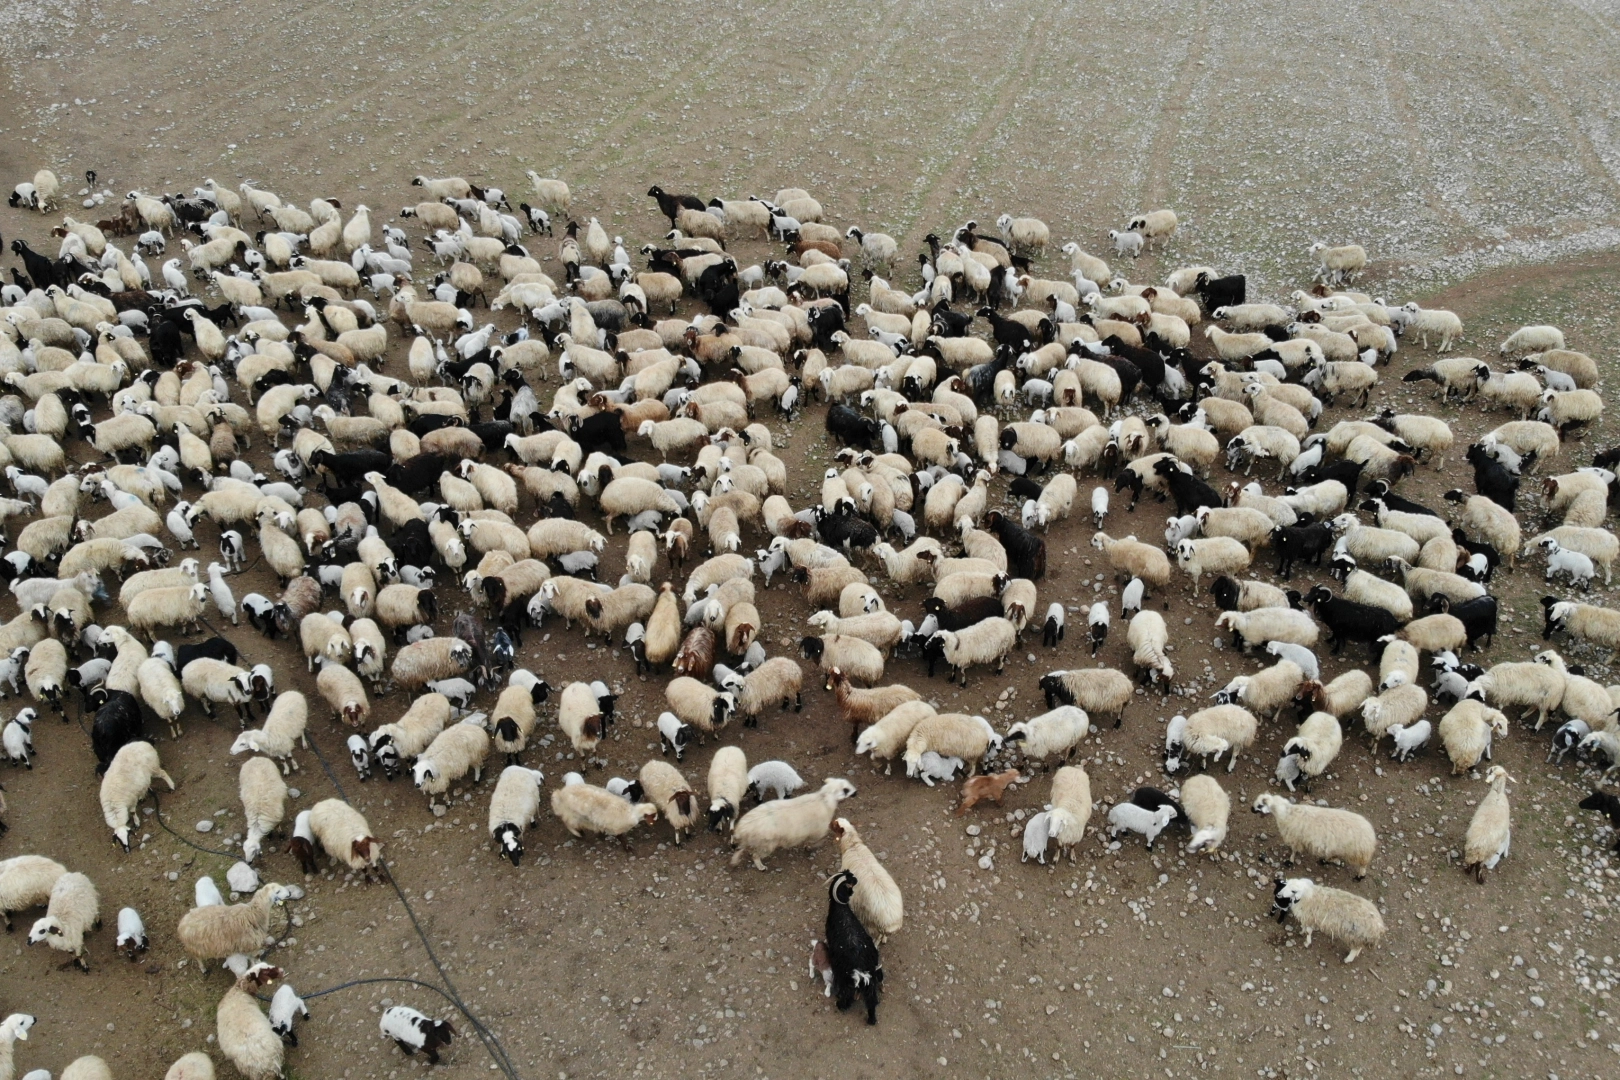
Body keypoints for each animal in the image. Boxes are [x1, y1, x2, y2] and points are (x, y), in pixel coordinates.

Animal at [732, 777, 861, 867]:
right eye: (847, 789)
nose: (856, 792)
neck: (824, 799)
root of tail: (742, 829)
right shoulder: (818, 831)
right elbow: (816, 841)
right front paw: (811, 847)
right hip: (766, 845)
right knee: (754, 855)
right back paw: (760, 866)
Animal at [822, 867, 887, 1029]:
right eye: (850, 879)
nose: (857, 879)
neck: (840, 909)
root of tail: (861, 972)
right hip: (869, 984)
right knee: (871, 1002)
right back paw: (871, 1020)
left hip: (847, 982)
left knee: (847, 997)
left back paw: (840, 1006)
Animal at [1244, 793, 1373, 880]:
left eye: (1260, 805)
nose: (1250, 809)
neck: (1286, 813)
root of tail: (1370, 834)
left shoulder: (1295, 838)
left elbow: (1294, 851)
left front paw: (1289, 861)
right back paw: (1325, 860)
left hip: (1359, 853)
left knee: (1363, 866)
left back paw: (1359, 876)